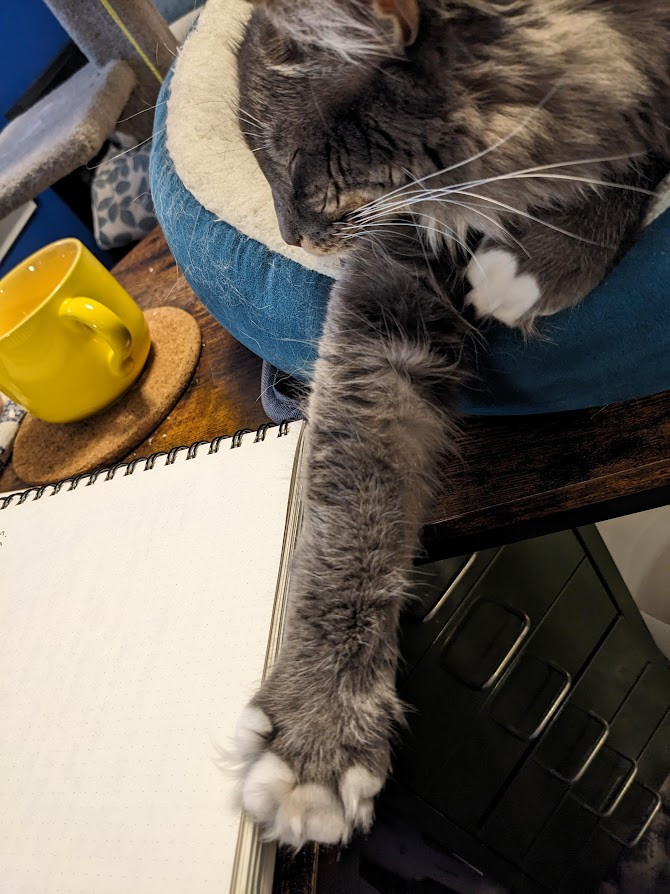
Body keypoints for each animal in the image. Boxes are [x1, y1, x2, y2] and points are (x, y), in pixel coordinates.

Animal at [232, 0, 670, 852]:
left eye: (294, 162)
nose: (291, 237)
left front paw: (537, 265)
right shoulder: (392, 287)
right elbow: (347, 499)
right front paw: (318, 738)